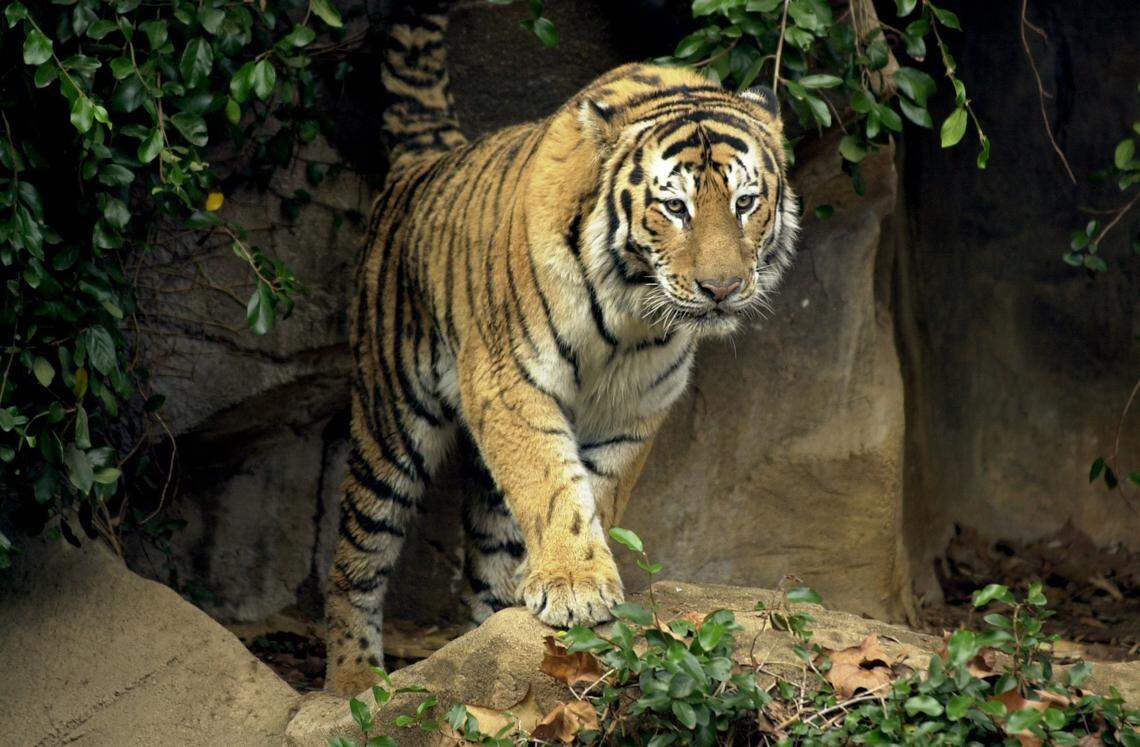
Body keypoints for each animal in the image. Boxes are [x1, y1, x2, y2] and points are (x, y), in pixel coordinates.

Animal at [324, 0, 799, 696]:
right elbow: (552, 483)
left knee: (487, 550)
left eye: (745, 203)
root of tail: (433, 159)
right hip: (391, 418)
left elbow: (594, 491)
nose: (722, 288)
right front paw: (575, 582)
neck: (630, 313)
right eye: (675, 207)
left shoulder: (633, 408)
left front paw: (561, 580)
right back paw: (354, 677)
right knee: (357, 552)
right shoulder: (509, 384)